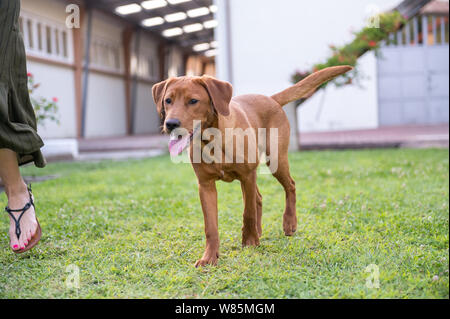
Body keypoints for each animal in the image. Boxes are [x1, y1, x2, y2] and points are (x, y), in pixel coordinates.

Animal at [152, 65, 352, 268]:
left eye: (193, 101)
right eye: (168, 100)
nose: (171, 124)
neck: (213, 138)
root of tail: (271, 98)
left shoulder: (247, 175)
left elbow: (247, 212)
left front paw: (249, 242)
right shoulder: (206, 185)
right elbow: (211, 227)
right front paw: (209, 257)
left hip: (275, 160)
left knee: (290, 186)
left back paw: (289, 223)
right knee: (259, 198)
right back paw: (259, 230)